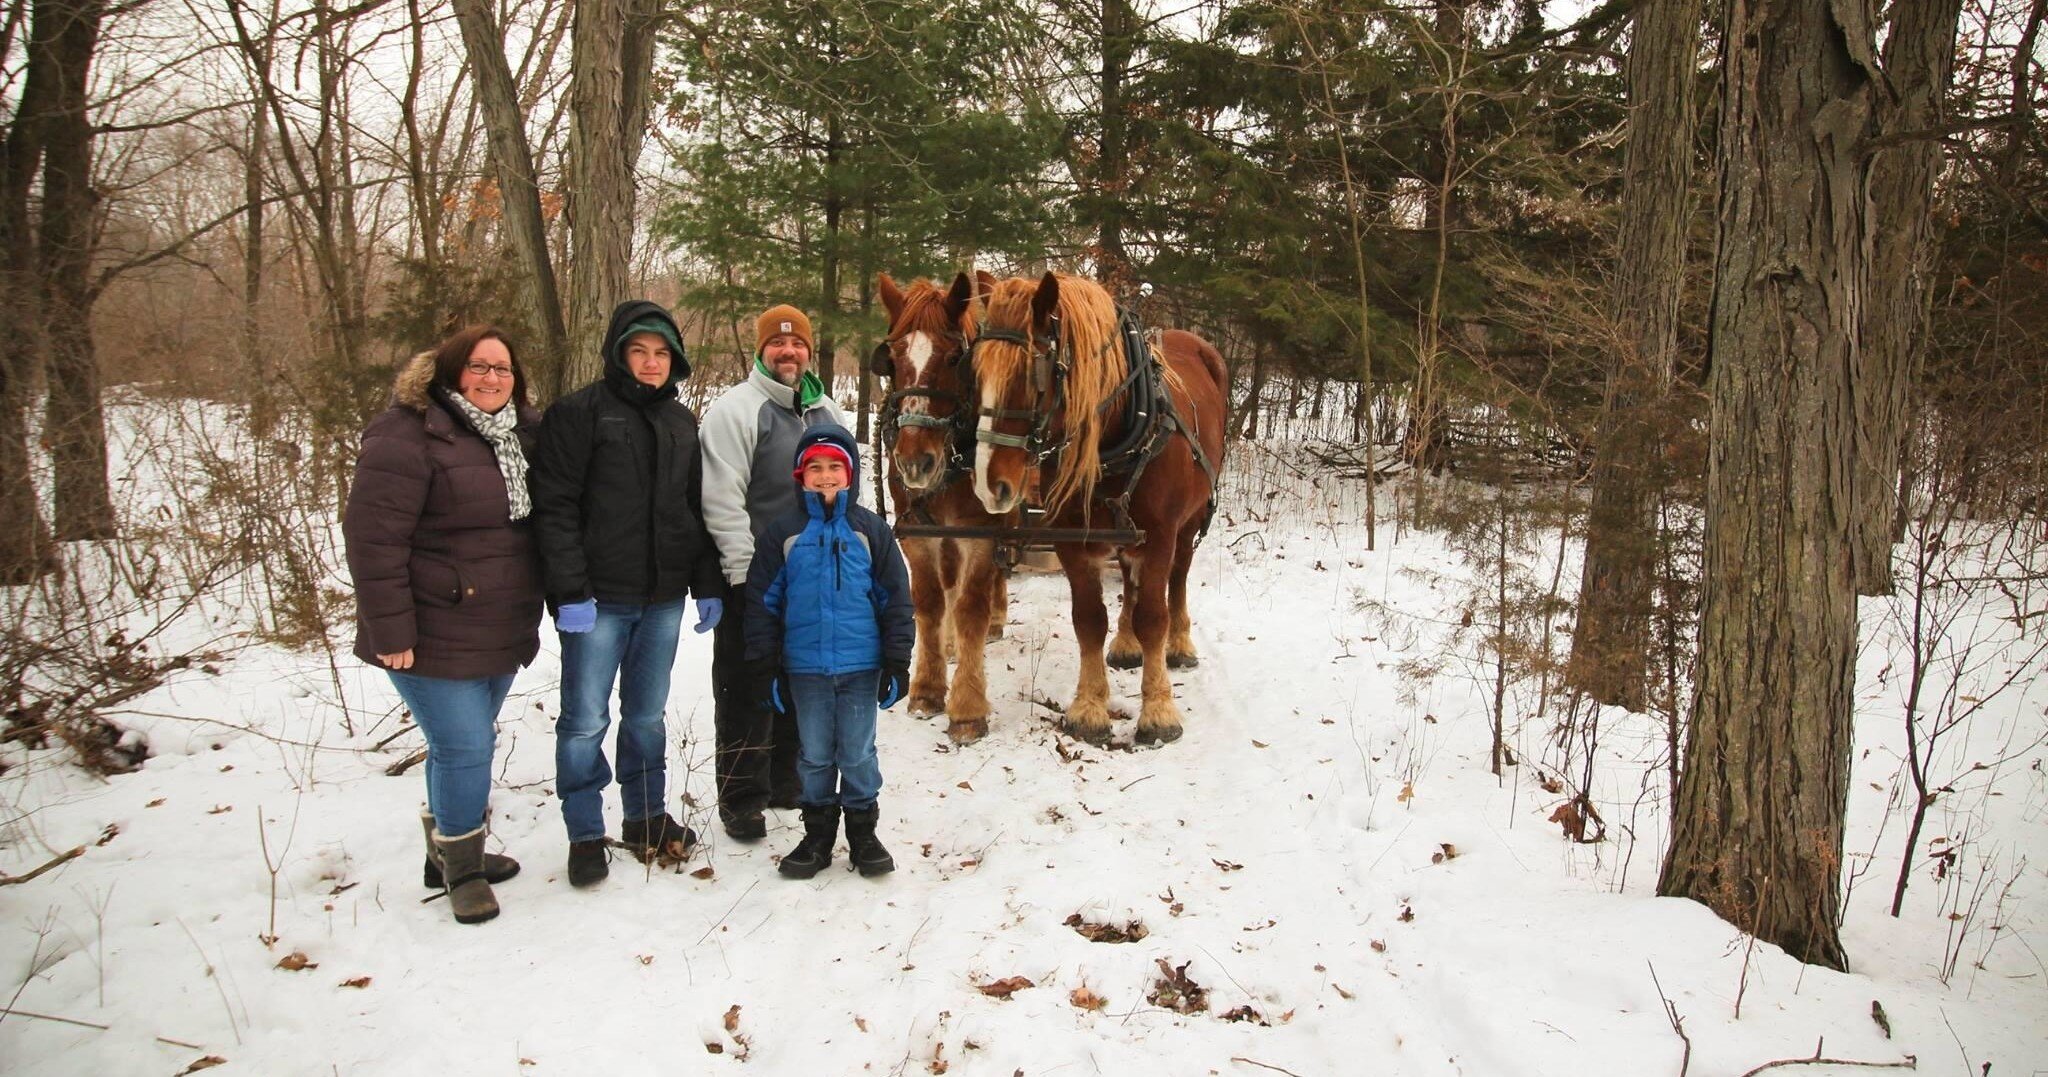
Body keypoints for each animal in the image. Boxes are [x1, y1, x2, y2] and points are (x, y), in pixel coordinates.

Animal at [872, 270, 1011, 743]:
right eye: (893, 357)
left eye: (953, 358)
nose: (915, 461)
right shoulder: (918, 535)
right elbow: (930, 603)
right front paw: (928, 689)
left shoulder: (981, 536)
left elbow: (970, 607)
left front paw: (967, 709)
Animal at [970, 272, 1228, 744]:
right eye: (975, 370)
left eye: (1030, 373)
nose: (987, 483)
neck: (1116, 438)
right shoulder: (1074, 540)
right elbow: (1089, 619)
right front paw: (1089, 708)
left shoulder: (1159, 536)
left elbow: (1154, 616)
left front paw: (1159, 710)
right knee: (1129, 578)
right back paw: (1126, 644)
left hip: (1188, 522)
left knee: (1178, 578)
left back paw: (1180, 644)